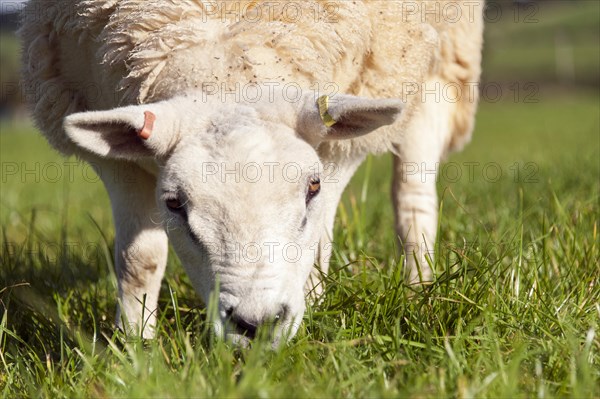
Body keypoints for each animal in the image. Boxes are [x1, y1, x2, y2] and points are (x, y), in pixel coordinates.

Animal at [21, 0, 486, 346]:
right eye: (174, 204)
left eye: (312, 187)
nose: (257, 323)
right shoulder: (108, 146)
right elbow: (140, 259)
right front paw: (134, 346)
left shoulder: (345, 127)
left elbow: (318, 243)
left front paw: (310, 317)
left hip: (439, 63)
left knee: (412, 196)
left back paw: (420, 290)